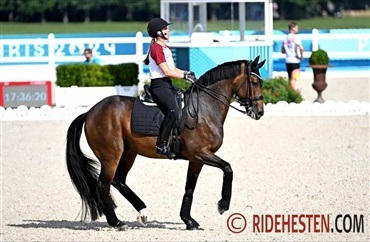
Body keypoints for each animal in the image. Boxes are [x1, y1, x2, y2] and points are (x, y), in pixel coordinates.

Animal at [66, 55, 266, 231]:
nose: (260, 112)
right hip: (111, 156)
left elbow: (189, 189)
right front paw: (223, 205)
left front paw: (189, 221)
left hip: (128, 153)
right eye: (255, 83)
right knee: (103, 185)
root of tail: (90, 112)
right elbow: (228, 168)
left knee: (118, 181)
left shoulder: (196, 159)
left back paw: (143, 212)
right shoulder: (201, 153)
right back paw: (117, 223)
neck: (205, 109)